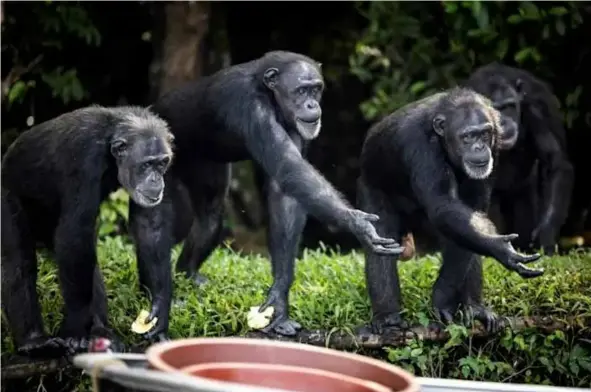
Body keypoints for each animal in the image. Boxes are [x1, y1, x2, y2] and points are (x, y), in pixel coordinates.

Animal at [1, 105, 173, 356]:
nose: (155, 179)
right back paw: (33, 341)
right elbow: (74, 234)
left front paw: (159, 309)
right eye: (146, 164)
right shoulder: (83, 158)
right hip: (6, 195)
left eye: (161, 164)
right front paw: (74, 332)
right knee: (19, 262)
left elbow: (150, 224)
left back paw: (100, 331)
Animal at [131, 49, 404, 336]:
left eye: (316, 89)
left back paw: (188, 274)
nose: (312, 105)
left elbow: (284, 192)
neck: (270, 95)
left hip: (206, 163)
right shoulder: (249, 107)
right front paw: (357, 223)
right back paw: (150, 292)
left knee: (210, 214)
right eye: (301, 90)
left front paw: (279, 303)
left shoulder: (296, 127)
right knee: (153, 223)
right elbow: (288, 166)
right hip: (156, 162)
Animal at [356, 89, 544, 334]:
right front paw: (501, 248)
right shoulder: (420, 146)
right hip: (371, 187)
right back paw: (387, 319)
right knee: (381, 242)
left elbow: (471, 215)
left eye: (485, 134)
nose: (479, 147)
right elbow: (443, 205)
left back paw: (475, 309)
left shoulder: (496, 146)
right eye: (468, 136)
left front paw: (444, 299)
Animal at [464, 63, 576, 254]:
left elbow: (554, 163)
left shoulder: (537, 108)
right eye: (493, 109)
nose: (503, 122)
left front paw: (545, 233)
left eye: (509, 106)